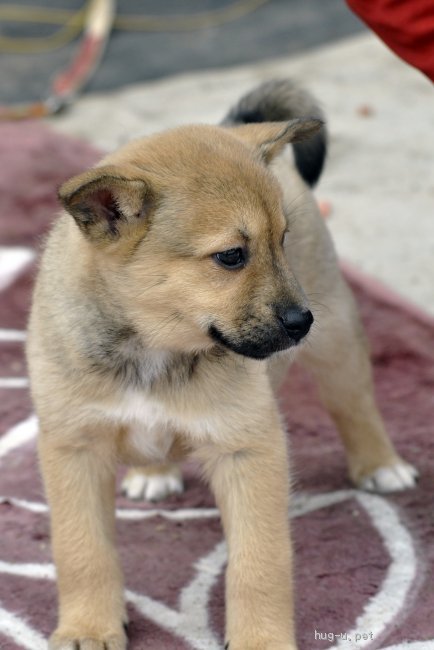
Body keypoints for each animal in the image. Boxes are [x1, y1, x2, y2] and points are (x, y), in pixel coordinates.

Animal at [27, 78, 418, 644]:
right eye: (231, 257)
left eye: (282, 240)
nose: (302, 321)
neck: (157, 348)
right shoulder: (74, 448)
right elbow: (83, 551)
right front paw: (89, 628)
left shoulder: (248, 451)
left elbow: (259, 565)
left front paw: (261, 640)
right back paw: (155, 471)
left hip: (339, 339)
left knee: (355, 403)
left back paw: (381, 465)